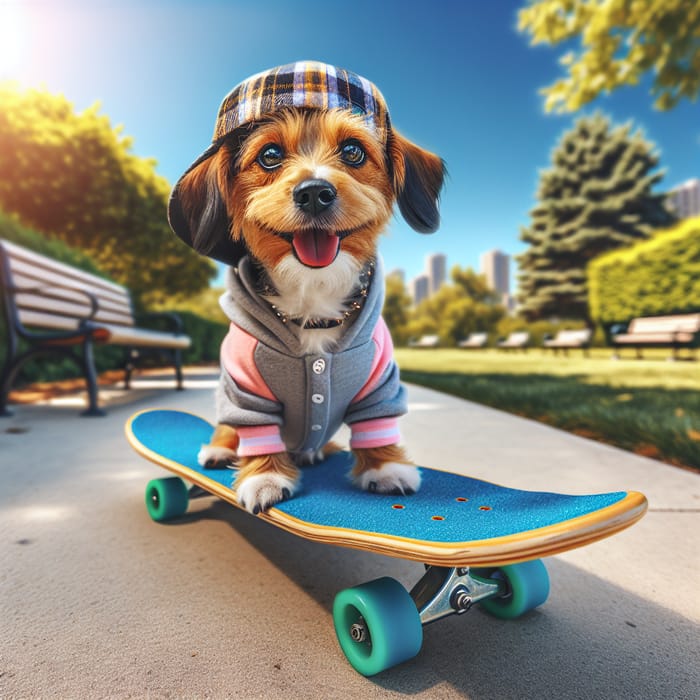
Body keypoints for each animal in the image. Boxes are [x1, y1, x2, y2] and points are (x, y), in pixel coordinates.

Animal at [168, 61, 442, 516]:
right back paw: (220, 450)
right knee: (228, 427)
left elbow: (378, 424)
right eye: (270, 156)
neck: (312, 297)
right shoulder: (245, 389)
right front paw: (264, 477)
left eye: (352, 151)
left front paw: (385, 468)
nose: (314, 192)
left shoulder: (381, 383)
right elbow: (256, 433)